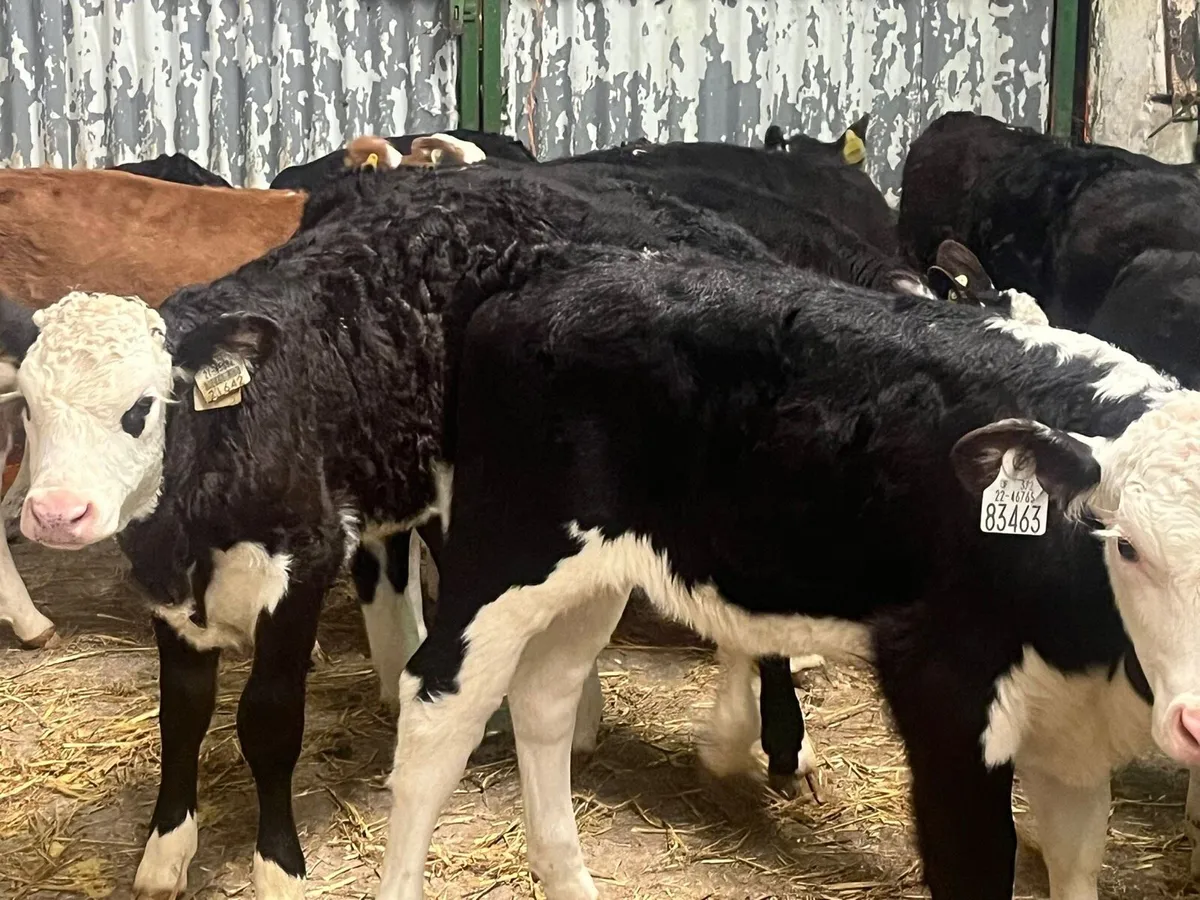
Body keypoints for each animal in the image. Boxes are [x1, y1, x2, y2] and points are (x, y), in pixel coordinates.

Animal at [0, 169, 883, 896]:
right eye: (30, 408)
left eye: (141, 408)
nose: (56, 513)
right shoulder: (171, 592)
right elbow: (180, 715)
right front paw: (164, 854)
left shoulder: (304, 561)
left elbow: (268, 722)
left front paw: (279, 869)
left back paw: (770, 742)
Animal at [374, 245, 1200, 900]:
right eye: (1127, 545)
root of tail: (532, 285)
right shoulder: (941, 686)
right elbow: (974, 863)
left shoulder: (1072, 726)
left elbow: (1076, 858)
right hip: (505, 553)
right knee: (440, 705)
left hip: (592, 576)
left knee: (544, 696)